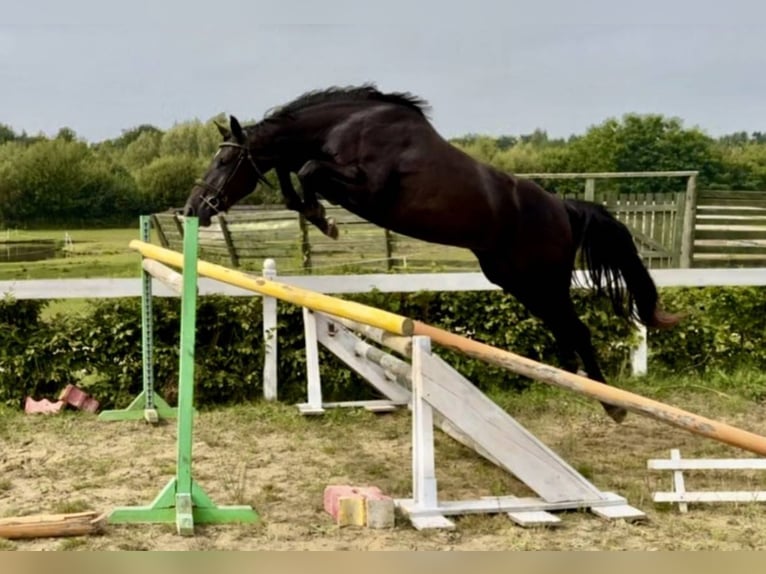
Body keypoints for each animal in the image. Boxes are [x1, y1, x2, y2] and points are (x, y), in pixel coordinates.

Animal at [182, 84, 681, 422]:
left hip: (542, 278)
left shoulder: (366, 187)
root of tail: (563, 207)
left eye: (224, 161)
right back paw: (576, 382)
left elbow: (305, 169)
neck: (345, 127)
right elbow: (294, 174)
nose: (194, 208)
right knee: (564, 330)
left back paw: (611, 403)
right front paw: (317, 214)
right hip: (515, 280)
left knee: (576, 329)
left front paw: (323, 219)